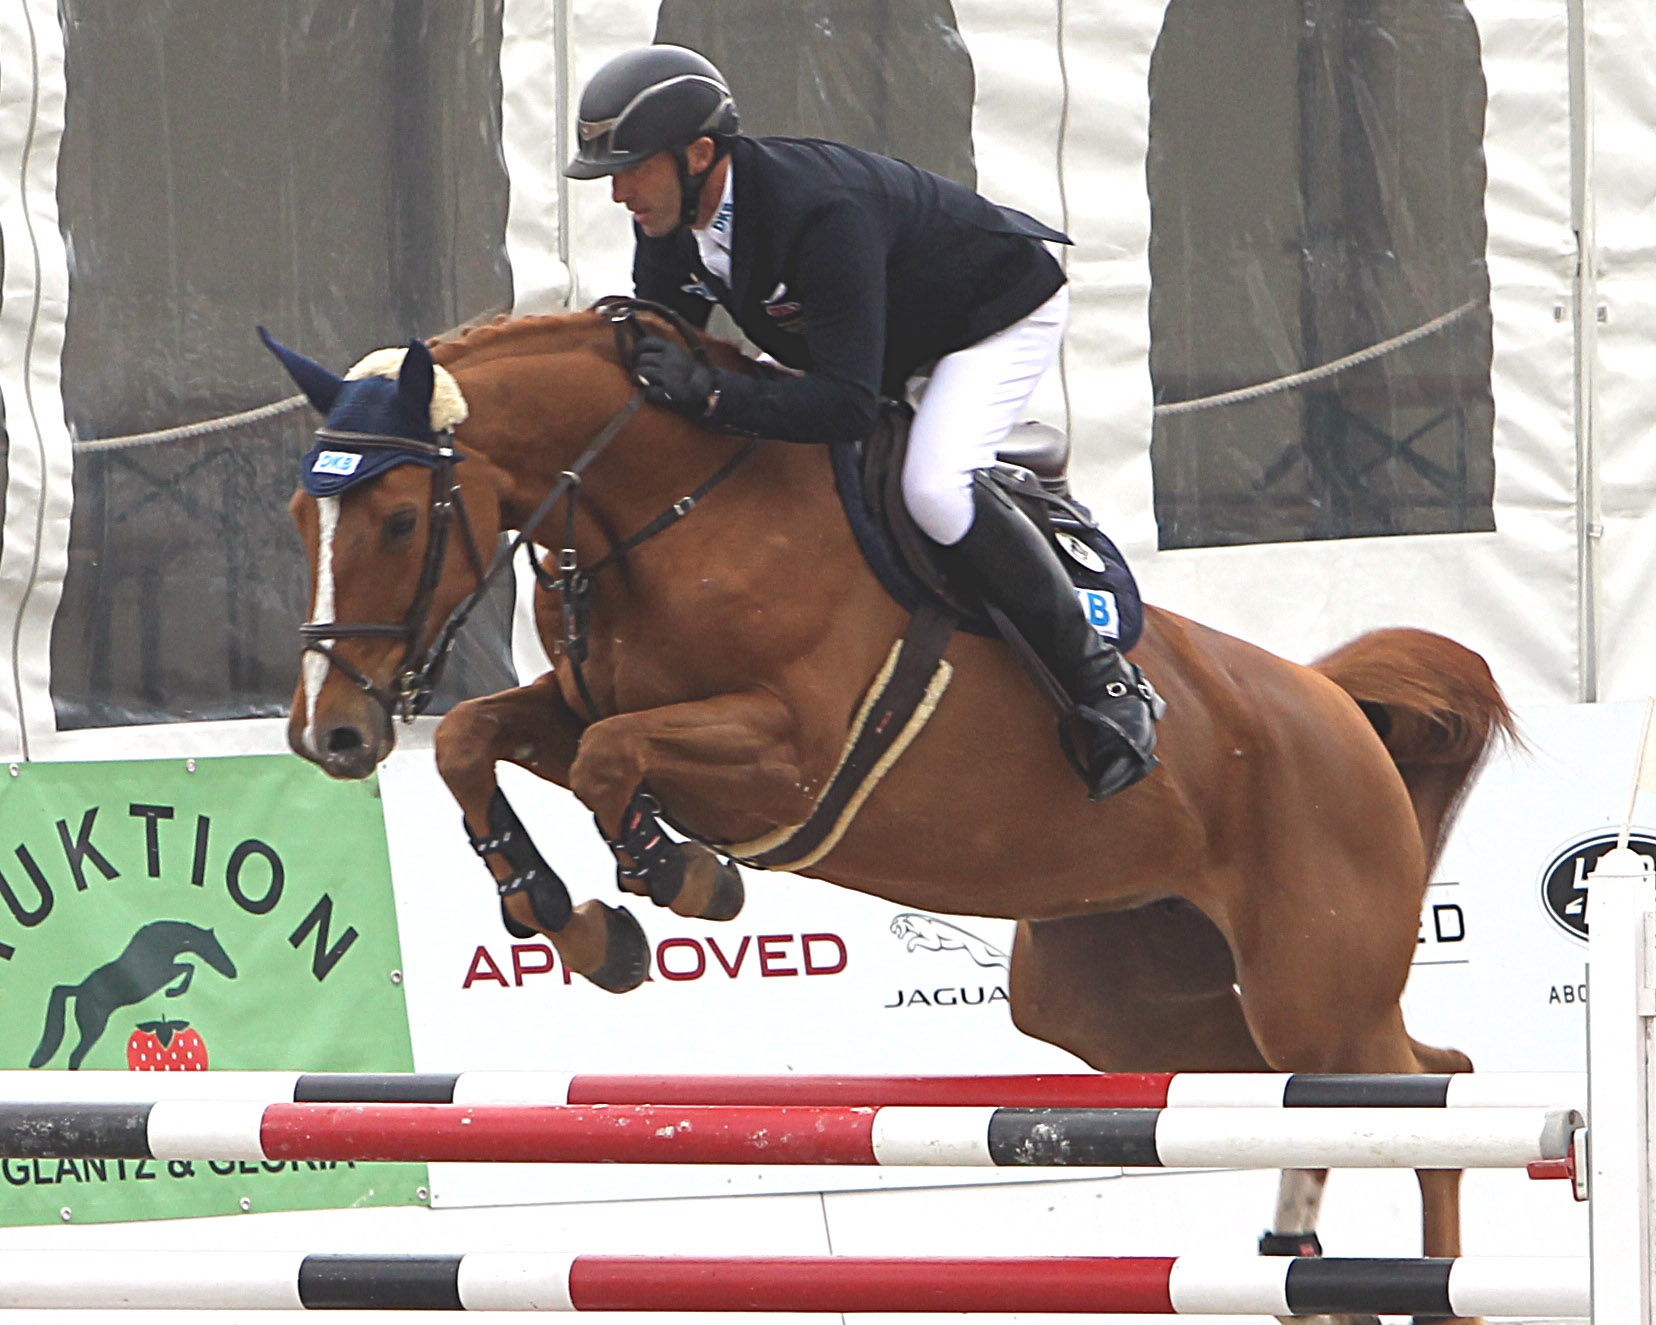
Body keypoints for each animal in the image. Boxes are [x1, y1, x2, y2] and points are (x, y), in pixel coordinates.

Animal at [268, 311, 1516, 1325]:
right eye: (298, 516)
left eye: (394, 520)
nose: (331, 735)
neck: (674, 506)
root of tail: (1335, 706)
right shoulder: (574, 701)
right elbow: (480, 740)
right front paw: (569, 918)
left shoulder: (792, 758)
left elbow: (614, 760)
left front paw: (676, 878)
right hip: (1130, 1008)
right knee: (1348, 1090)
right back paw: (1318, 1274)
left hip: (1311, 988)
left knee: (1427, 1089)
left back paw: (1425, 1290)